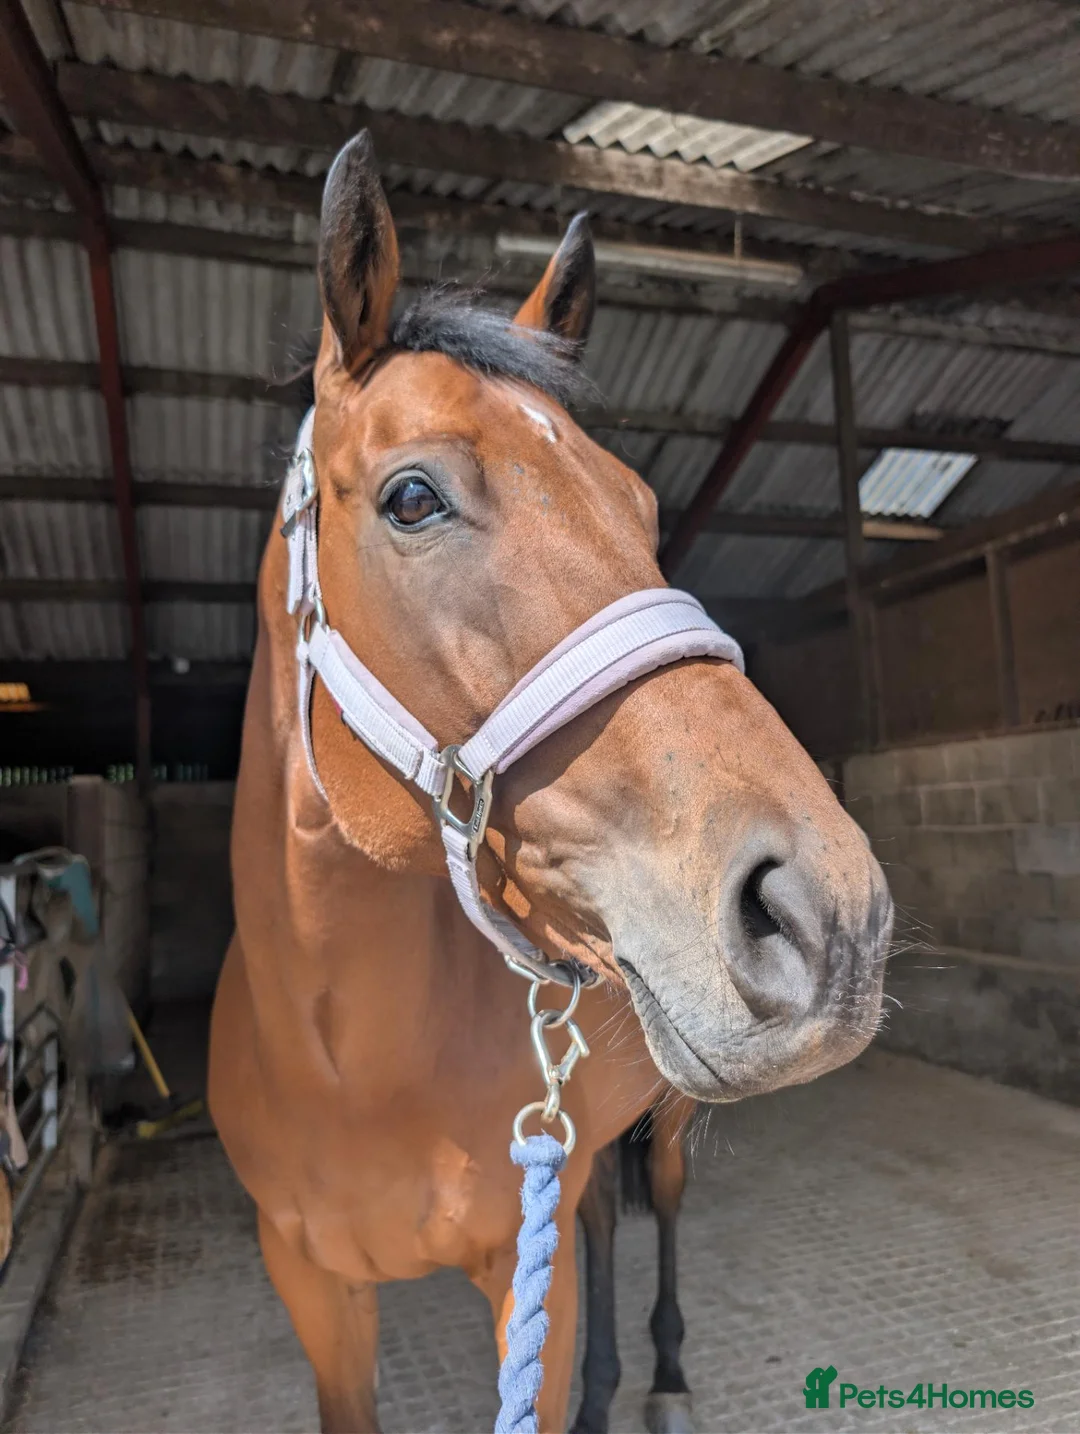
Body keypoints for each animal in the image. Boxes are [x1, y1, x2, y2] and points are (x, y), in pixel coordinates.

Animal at [209, 130, 893, 1434]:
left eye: (640, 507)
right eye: (412, 497)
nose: (830, 916)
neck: (347, 1061)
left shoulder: (519, 1277)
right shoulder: (310, 1287)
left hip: (667, 1120)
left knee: (651, 1206)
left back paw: (659, 1378)